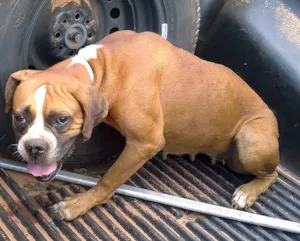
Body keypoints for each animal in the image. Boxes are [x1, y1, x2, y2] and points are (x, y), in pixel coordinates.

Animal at [4, 30, 278, 220]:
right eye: (19, 117)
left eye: (62, 119)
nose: (34, 147)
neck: (102, 66)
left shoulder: (144, 143)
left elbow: (108, 180)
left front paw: (79, 205)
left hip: (250, 142)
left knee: (272, 174)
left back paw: (248, 192)